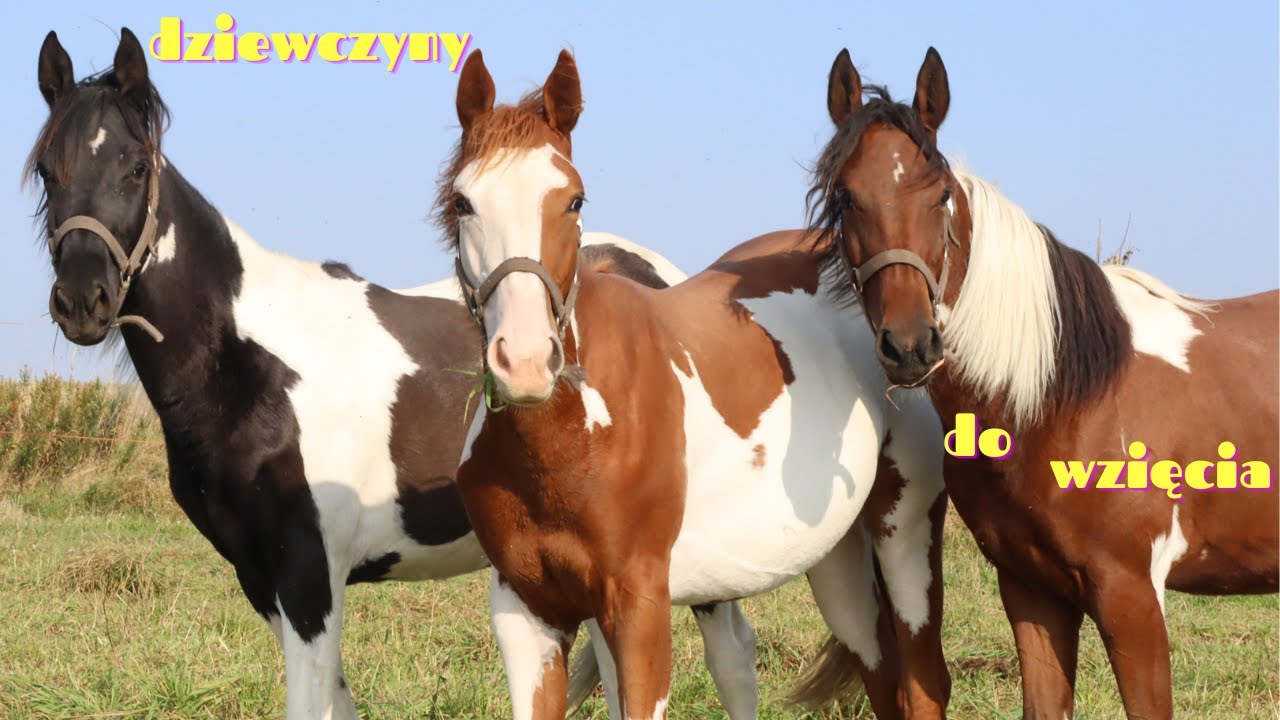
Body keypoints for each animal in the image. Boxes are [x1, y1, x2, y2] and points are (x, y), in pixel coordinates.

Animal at [25, 27, 767, 720]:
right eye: (47, 171)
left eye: (134, 166)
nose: (83, 300)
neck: (253, 368)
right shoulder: (265, 582)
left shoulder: (309, 579)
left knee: (730, 658)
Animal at [442, 48, 953, 720]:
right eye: (463, 203)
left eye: (574, 200)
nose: (525, 362)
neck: (565, 445)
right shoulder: (527, 613)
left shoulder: (638, 608)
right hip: (836, 558)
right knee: (875, 668)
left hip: (904, 533)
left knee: (921, 680)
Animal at [807, 46, 1278, 719]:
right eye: (846, 199)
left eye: (941, 195)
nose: (910, 345)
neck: (1066, 399)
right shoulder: (1031, 591)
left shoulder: (1131, 596)